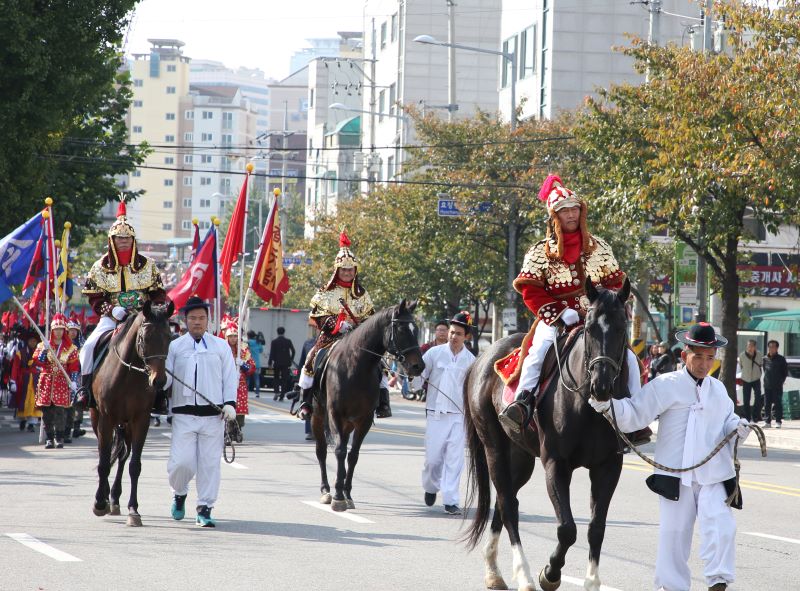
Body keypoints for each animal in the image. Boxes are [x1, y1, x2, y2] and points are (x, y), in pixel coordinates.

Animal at [89, 300, 173, 528]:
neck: (128, 374)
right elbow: (103, 462)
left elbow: (134, 465)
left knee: (122, 456)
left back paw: (114, 498)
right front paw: (99, 503)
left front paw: (133, 510)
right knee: (106, 454)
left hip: (125, 424)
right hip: (97, 417)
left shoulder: (140, 420)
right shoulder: (106, 419)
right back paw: (105, 497)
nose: (159, 381)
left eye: (169, 338)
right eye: (144, 338)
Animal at [310, 300, 424, 512]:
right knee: (321, 451)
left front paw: (346, 494)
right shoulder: (335, 414)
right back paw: (326, 490)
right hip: (317, 416)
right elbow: (339, 451)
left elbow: (353, 455)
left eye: (416, 329)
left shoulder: (364, 419)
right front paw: (338, 497)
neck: (355, 367)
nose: (418, 366)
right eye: (402, 329)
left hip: (348, 424)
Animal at [462, 278, 632, 591]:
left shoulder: (609, 465)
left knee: (504, 501)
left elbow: (596, 528)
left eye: (622, 327)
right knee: (508, 506)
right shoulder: (555, 463)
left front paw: (591, 581)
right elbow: (567, 529)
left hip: (520, 457)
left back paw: (494, 571)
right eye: (589, 328)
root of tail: (483, 357)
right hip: (494, 448)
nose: (601, 385)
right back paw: (524, 576)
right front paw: (550, 574)